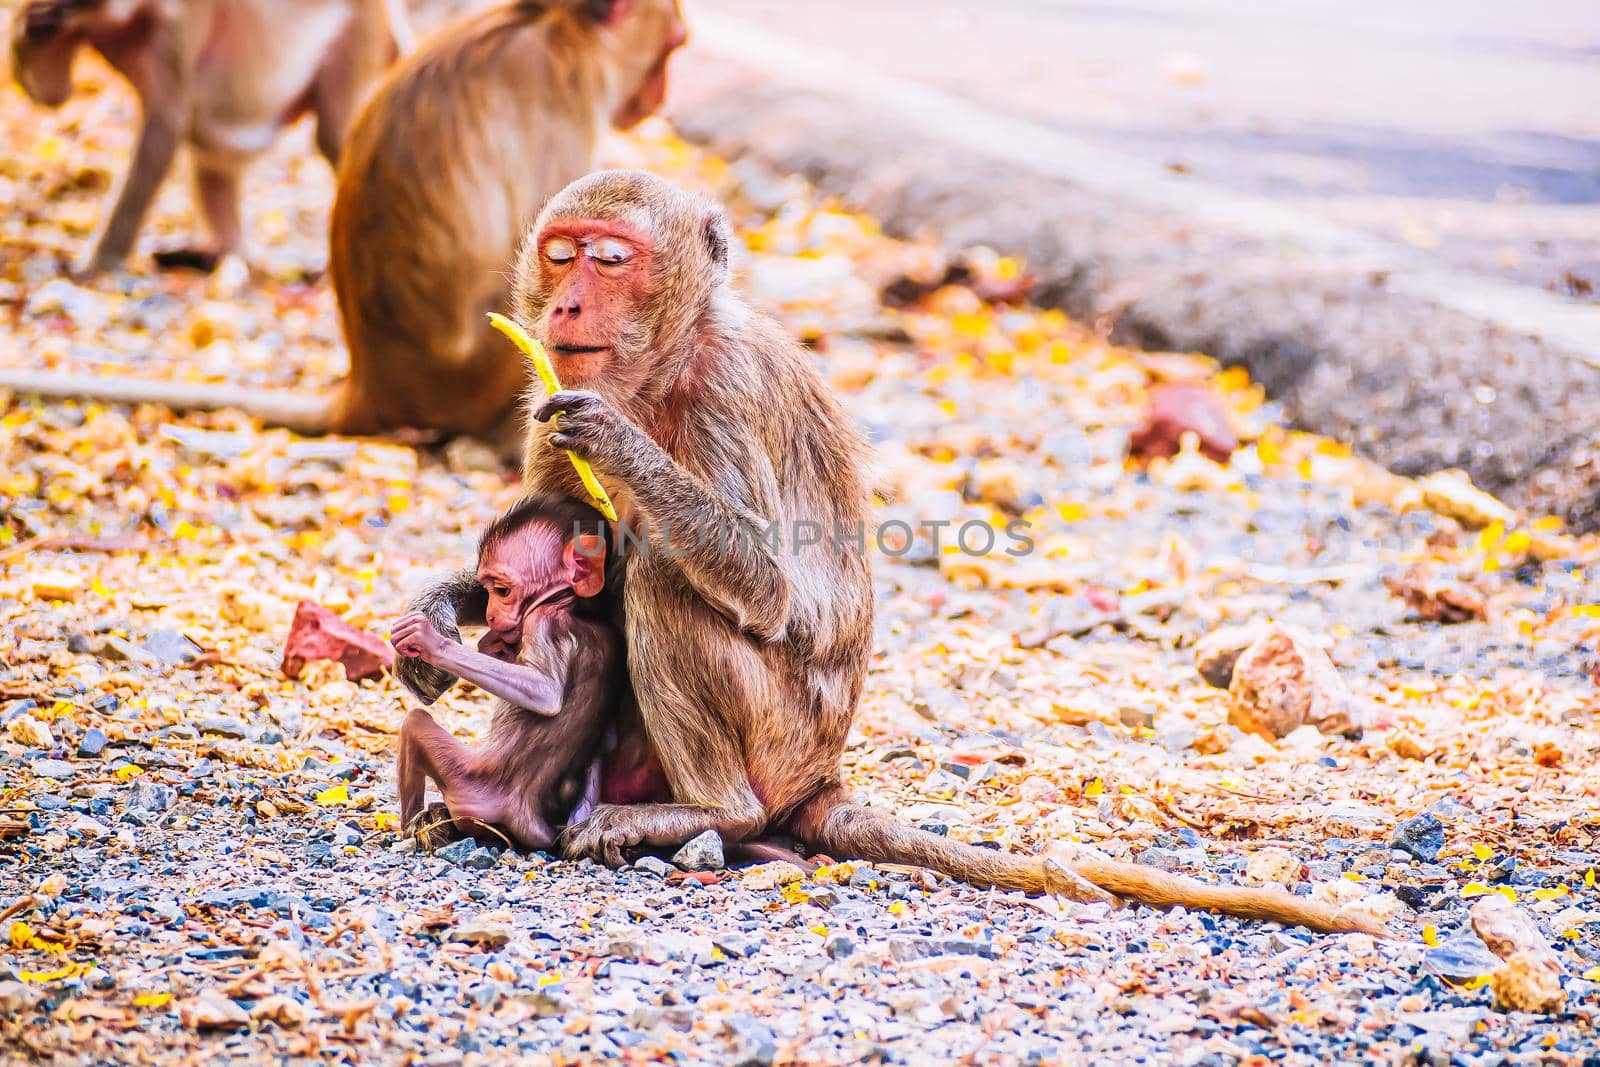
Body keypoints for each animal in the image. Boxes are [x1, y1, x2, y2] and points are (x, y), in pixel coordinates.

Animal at [7, 0, 406, 279]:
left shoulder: (177, 21)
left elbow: (164, 127)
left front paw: (98, 263)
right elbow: (51, 91)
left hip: (357, 34)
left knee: (335, 137)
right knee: (211, 165)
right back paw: (229, 259)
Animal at [393, 495, 624, 857]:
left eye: (501, 591)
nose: (490, 614)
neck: (570, 606)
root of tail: (525, 818)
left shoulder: (544, 622)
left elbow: (545, 693)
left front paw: (432, 643)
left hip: (468, 786)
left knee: (415, 724)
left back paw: (413, 826)